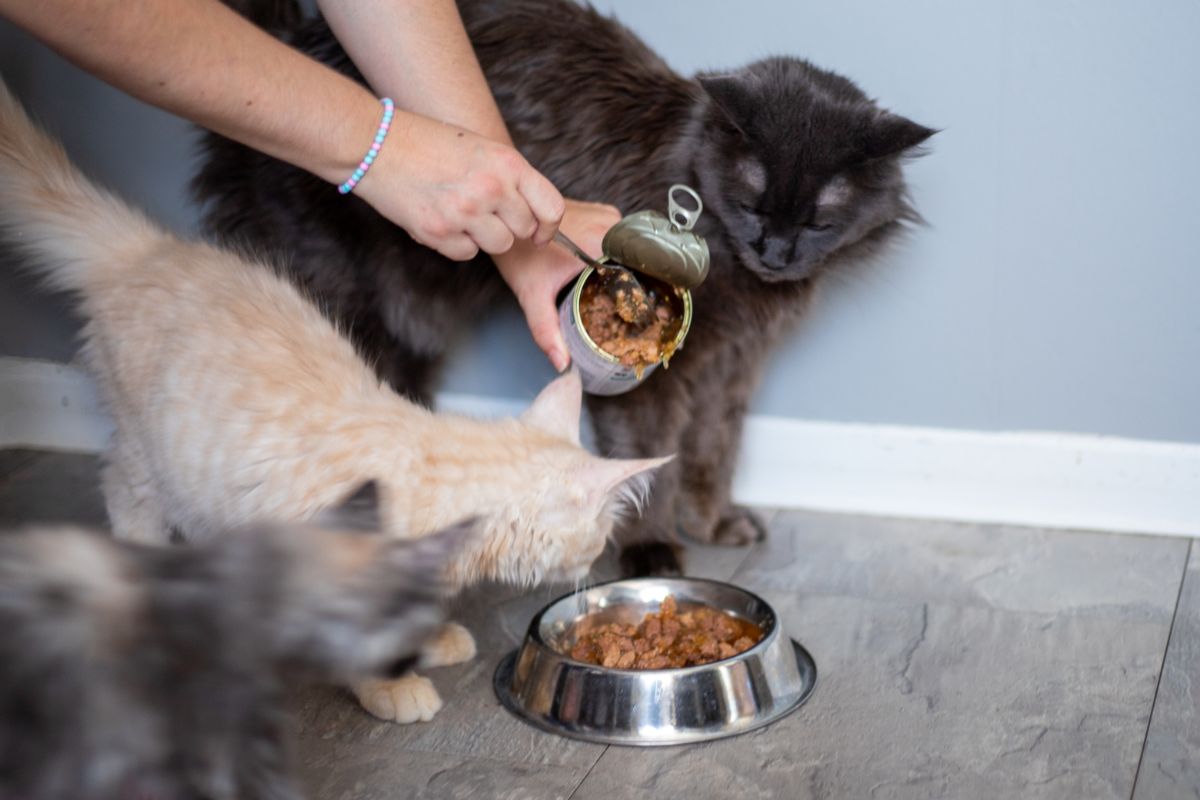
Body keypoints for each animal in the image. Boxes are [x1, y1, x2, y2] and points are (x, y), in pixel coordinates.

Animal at [0, 79, 667, 724]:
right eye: (598, 541)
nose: (592, 568)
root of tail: (148, 249)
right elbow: (361, 642)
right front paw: (392, 688)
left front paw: (433, 637)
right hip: (149, 454)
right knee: (121, 488)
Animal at [194, 0, 926, 578]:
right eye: (752, 207)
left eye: (818, 223)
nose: (775, 253)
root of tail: (289, 33)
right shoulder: (655, 386)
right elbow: (649, 461)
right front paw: (652, 550)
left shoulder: (732, 367)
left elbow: (714, 449)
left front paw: (713, 521)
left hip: (410, 329)